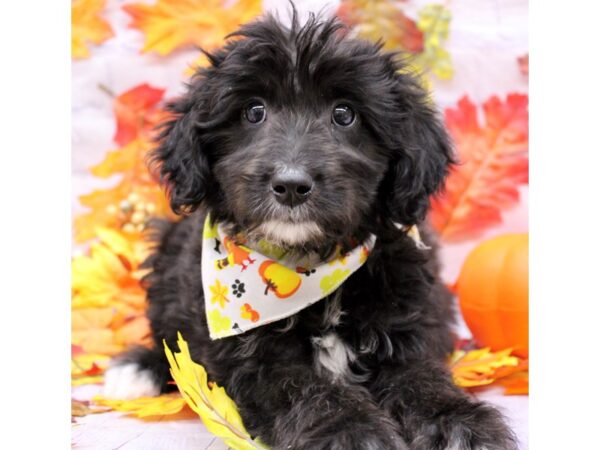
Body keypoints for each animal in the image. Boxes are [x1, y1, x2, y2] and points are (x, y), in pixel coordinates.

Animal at [103, 10, 516, 450]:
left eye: (345, 113)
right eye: (254, 111)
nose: (291, 184)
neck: (310, 266)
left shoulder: (411, 320)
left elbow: (419, 374)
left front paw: (458, 421)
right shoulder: (254, 358)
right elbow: (303, 389)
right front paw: (350, 430)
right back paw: (138, 368)